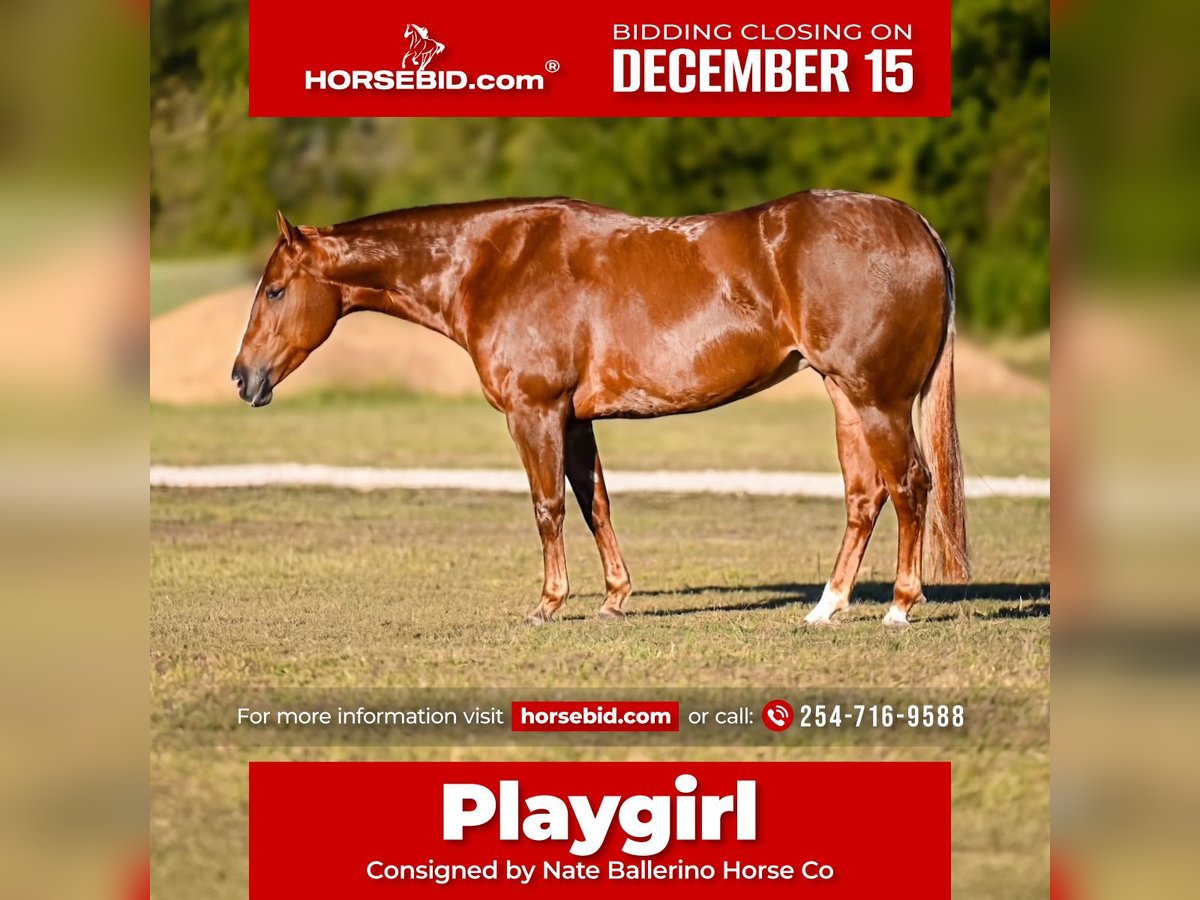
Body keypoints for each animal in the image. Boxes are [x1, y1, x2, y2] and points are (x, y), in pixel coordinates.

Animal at [232, 192, 970, 627]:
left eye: (274, 290)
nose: (243, 378)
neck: (494, 264)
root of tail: (915, 225)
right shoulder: (575, 418)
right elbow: (596, 504)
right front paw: (616, 598)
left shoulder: (533, 412)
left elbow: (549, 507)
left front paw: (549, 603)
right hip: (847, 397)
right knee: (865, 495)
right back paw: (827, 607)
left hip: (878, 399)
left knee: (911, 486)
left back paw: (900, 606)